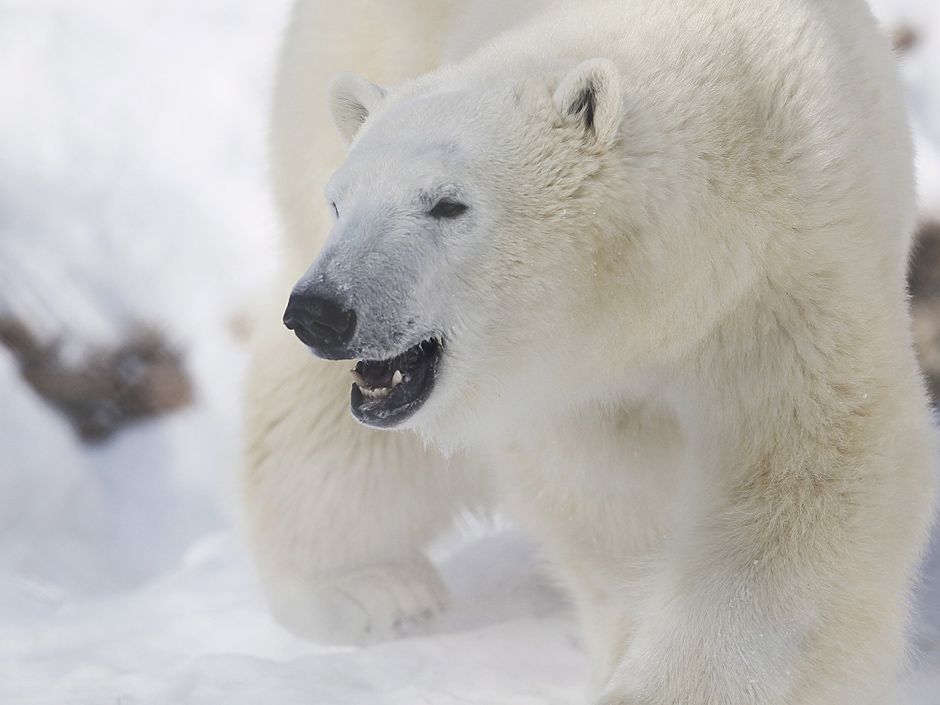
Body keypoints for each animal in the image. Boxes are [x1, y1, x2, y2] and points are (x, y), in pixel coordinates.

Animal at [244, 0, 940, 700]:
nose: (321, 312)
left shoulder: (795, 276)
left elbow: (806, 475)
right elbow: (598, 499)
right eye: (342, 202)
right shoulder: (560, 381)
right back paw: (367, 589)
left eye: (447, 204)